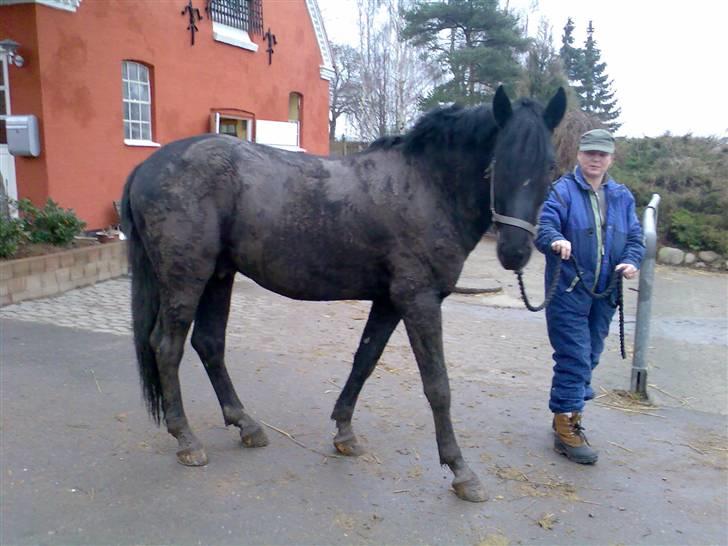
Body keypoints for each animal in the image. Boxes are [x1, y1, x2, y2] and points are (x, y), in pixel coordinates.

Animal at [119, 87, 564, 500]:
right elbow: (437, 385)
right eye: (498, 163)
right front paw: (461, 470)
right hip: (186, 278)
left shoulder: (389, 301)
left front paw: (345, 433)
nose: (515, 252)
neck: (425, 187)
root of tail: (145, 167)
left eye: (549, 167)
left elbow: (365, 360)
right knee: (167, 346)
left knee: (209, 344)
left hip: (219, 276)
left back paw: (246, 425)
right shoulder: (419, 299)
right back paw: (187, 439)